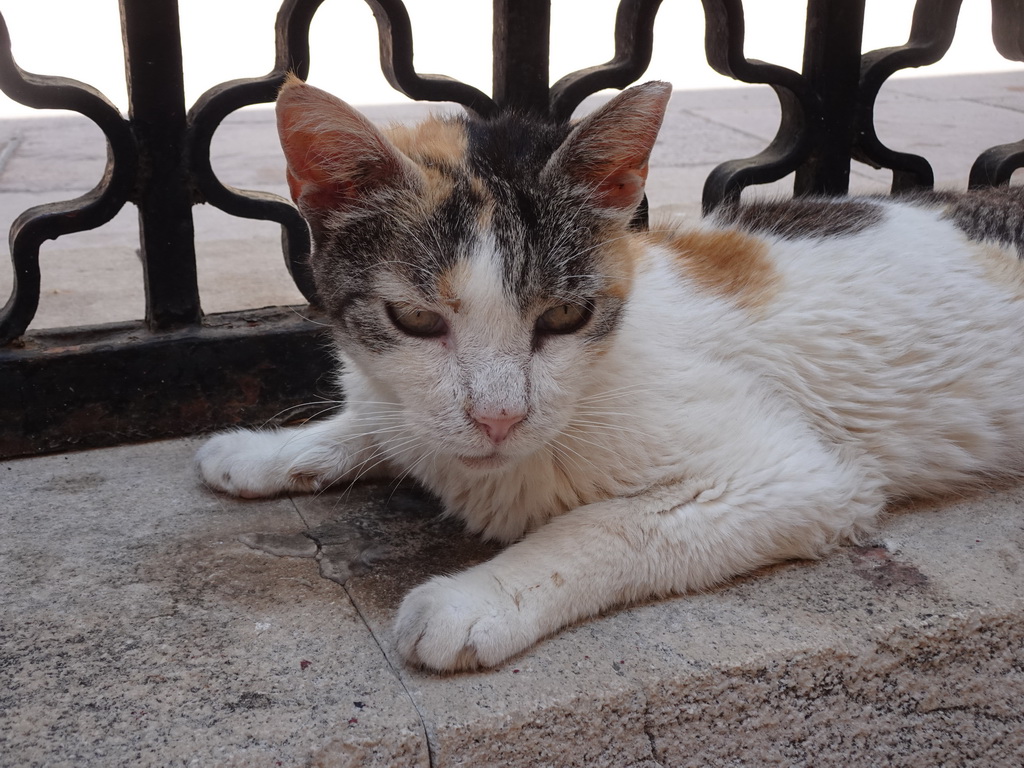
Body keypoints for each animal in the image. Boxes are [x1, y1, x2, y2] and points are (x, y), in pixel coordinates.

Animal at [193, 73, 1024, 671]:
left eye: (565, 315)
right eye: (417, 320)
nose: (499, 417)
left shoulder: (800, 476)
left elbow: (608, 526)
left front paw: (479, 597)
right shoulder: (410, 408)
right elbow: (382, 420)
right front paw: (261, 452)